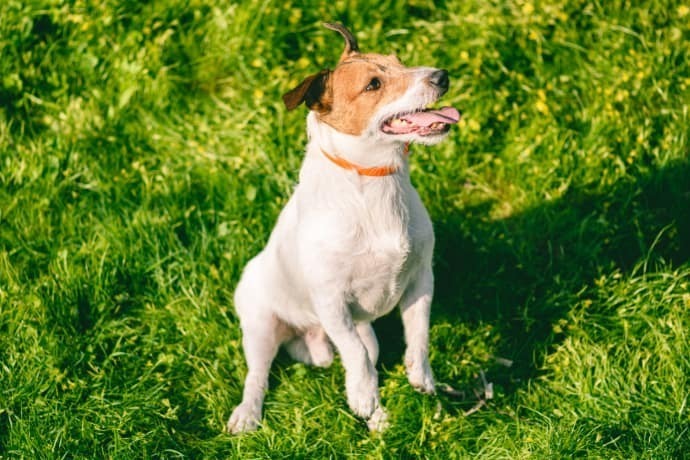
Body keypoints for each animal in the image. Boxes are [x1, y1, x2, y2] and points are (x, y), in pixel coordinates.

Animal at [228, 23, 460, 434]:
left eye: (400, 61)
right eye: (373, 84)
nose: (441, 76)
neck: (372, 180)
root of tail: (310, 336)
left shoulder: (420, 281)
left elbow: (417, 337)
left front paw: (421, 378)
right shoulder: (331, 302)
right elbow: (357, 357)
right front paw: (363, 396)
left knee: (365, 351)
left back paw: (378, 418)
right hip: (260, 325)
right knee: (260, 374)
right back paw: (248, 413)